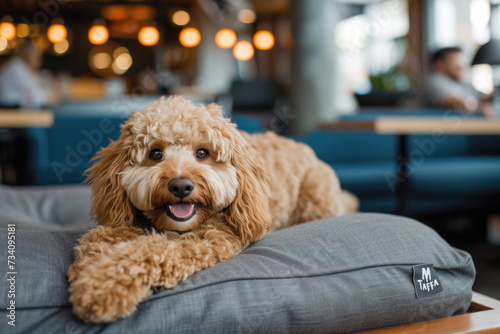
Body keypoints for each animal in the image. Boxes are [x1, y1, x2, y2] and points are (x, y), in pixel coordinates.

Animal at [68, 96, 358, 320]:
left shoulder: (207, 239)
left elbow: (153, 250)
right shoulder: (119, 224)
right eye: (155, 154)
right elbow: (96, 241)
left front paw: (103, 289)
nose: (181, 186)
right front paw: (92, 279)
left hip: (316, 199)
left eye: (202, 153)